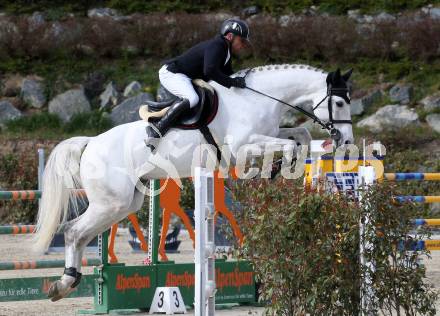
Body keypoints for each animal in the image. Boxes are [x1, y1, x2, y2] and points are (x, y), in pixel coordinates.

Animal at [31, 63, 354, 300]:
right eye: (339, 102)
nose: (345, 140)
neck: (259, 98)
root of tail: (90, 143)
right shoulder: (243, 146)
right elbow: (288, 145)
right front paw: (276, 169)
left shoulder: (270, 134)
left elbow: (301, 136)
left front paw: (286, 167)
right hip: (111, 202)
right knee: (73, 232)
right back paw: (63, 283)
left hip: (122, 203)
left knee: (80, 234)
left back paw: (67, 282)